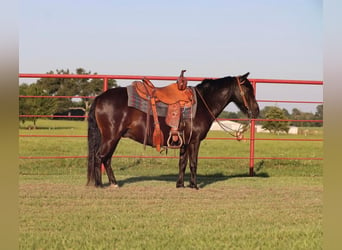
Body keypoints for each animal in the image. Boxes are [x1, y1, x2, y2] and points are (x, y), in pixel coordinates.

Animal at [87, 73, 260, 188]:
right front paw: (194, 186)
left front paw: (180, 184)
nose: (256, 111)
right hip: (111, 137)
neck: (203, 103)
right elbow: (193, 163)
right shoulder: (195, 141)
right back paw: (99, 184)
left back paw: (113, 183)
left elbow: (182, 163)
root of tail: (100, 98)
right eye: (248, 90)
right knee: (100, 157)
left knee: (106, 158)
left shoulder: (184, 142)